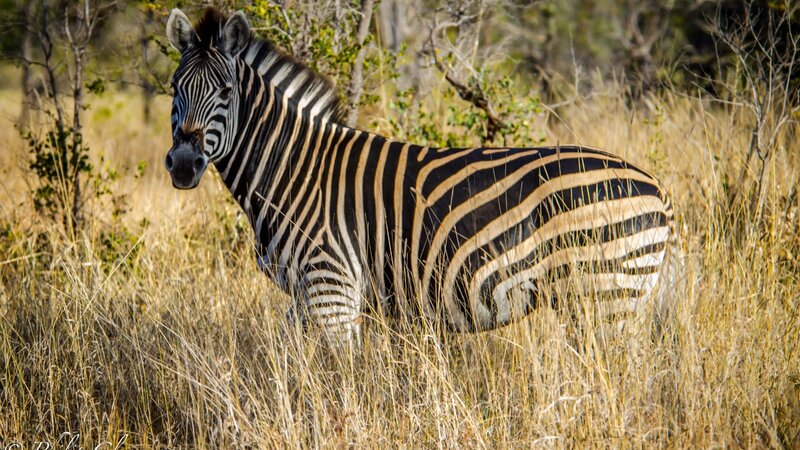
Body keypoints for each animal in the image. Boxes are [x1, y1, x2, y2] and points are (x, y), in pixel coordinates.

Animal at [164, 8, 675, 346]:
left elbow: (338, 386)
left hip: (607, 299)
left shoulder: (332, 290)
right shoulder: (305, 298)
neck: (292, 169)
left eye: (226, 91)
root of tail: (657, 188)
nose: (184, 163)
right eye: (174, 88)